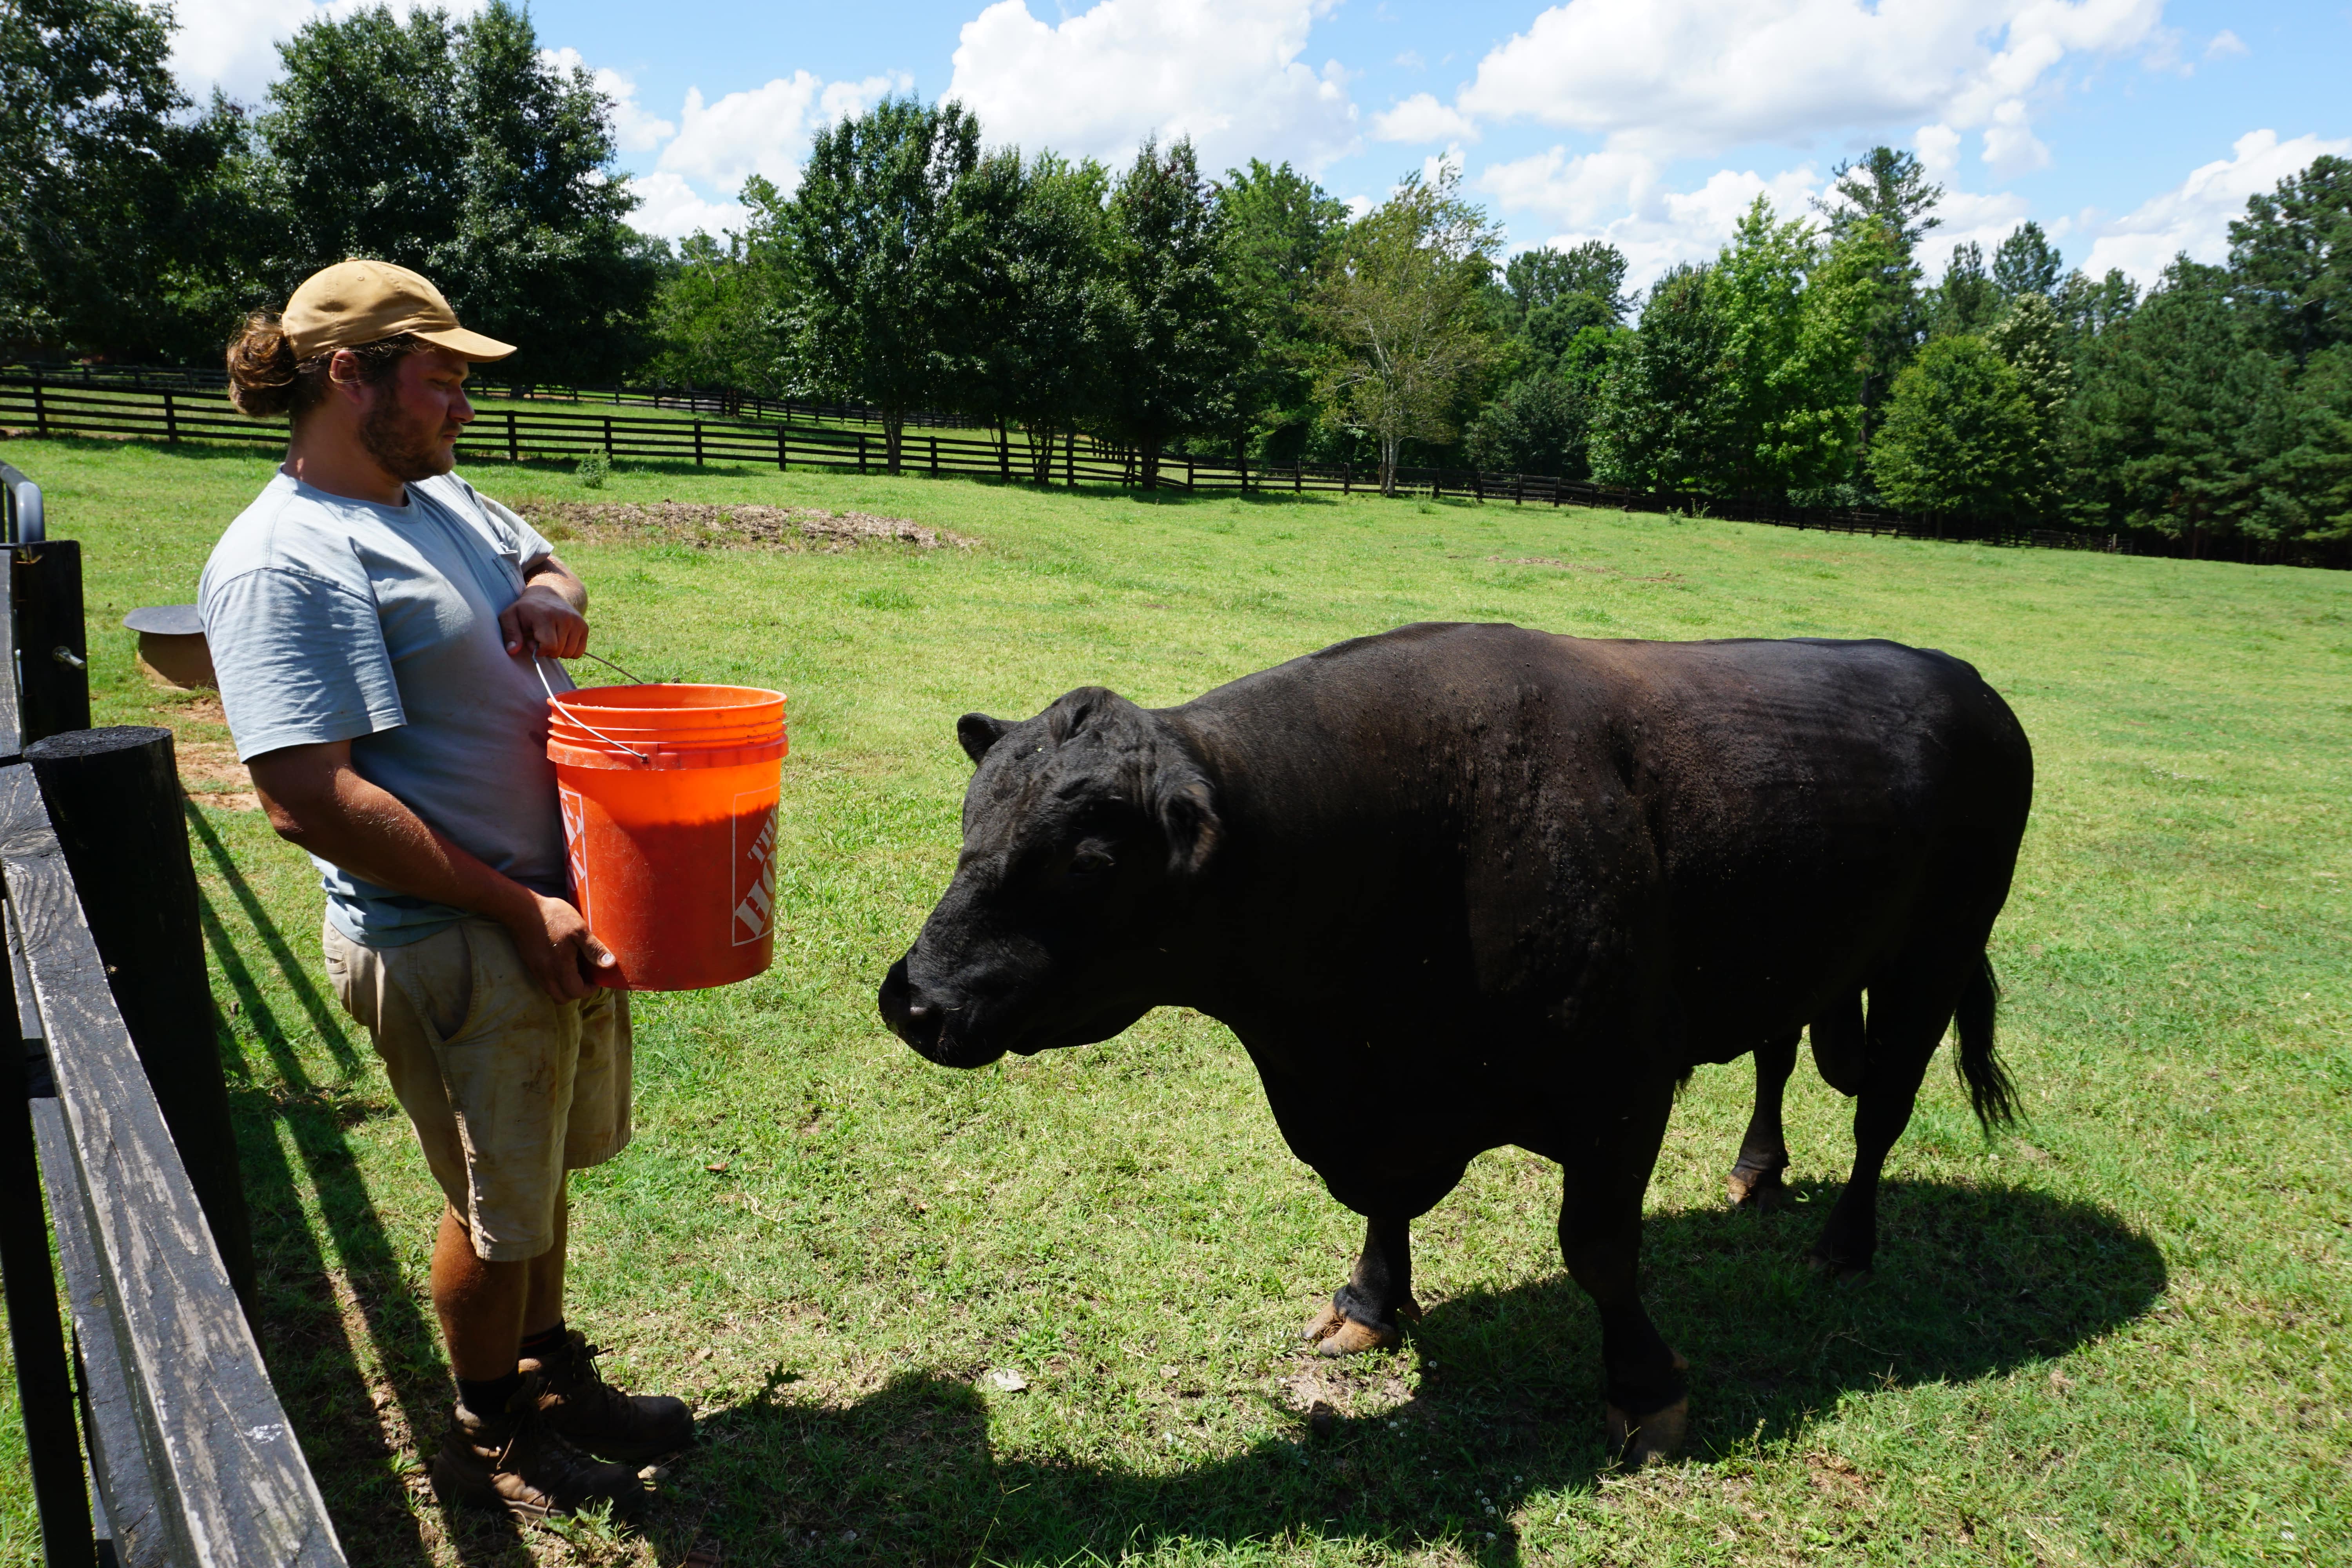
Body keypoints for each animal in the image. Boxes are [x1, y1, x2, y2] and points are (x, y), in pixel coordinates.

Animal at [879, 623, 2032, 1463]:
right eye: (971, 817)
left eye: (1089, 859)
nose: (915, 1000)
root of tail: (1965, 678)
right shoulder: (1380, 1096)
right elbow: (1385, 1206)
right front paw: (1369, 1304)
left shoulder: (1621, 1088)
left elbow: (1598, 1250)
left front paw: (1645, 1392)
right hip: (1797, 961)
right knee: (1780, 1055)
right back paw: (1757, 1171)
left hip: (1935, 954)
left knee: (1881, 1109)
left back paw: (1844, 1242)